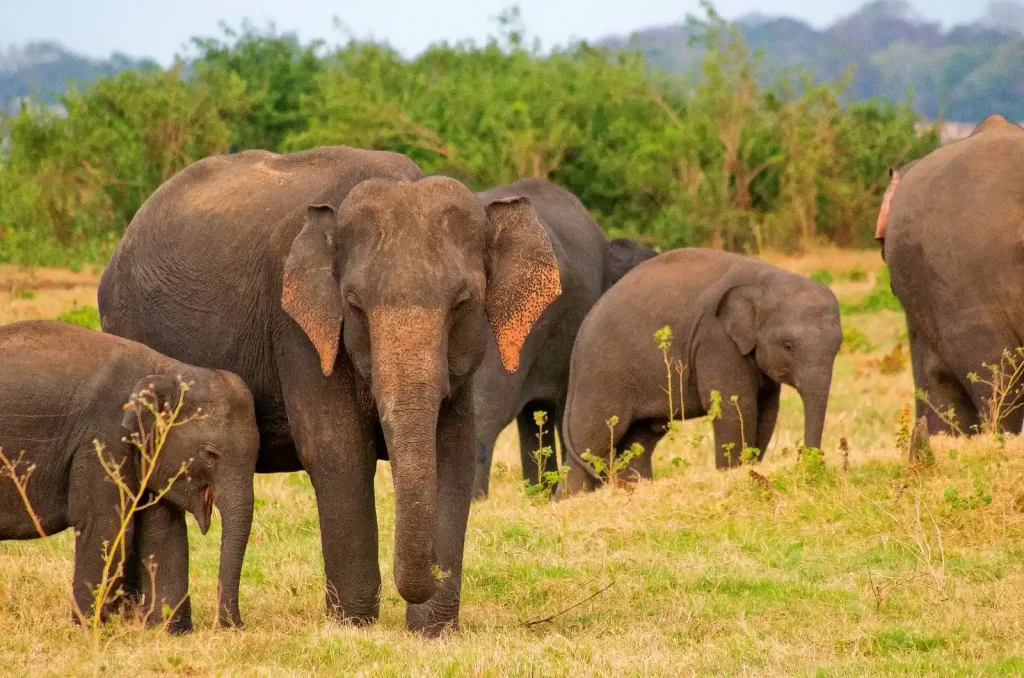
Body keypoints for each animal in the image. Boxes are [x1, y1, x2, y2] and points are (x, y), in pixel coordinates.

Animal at [0, 321, 260, 634]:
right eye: (210, 454)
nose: (234, 625)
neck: (165, 370)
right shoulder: (103, 439)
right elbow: (105, 523)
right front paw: (88, 629)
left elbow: (163, 530)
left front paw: (170, 632)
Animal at [96, 147, 565, 639]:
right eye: (354, 304)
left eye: (461, 303)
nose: (424, 582)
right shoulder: (298, 330)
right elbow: (338, 451)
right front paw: (354, 626)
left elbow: (451, 454)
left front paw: (432, 633)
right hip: (128, 325)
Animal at [561, 249, 839, 493]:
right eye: (788, 346)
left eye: (837, 347)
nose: (809, 465)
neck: (767, 279)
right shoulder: (715, 340)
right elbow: (735, 408)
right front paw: (733, 474)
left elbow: (767, 412)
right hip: (601, 375)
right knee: (592, 441)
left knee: (640, 439)